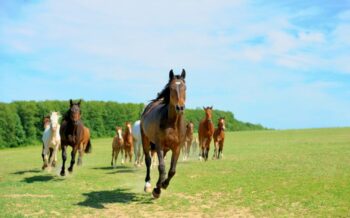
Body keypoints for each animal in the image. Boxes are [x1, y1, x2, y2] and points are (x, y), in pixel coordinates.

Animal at [141, 69, 187, 198]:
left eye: (185, 88)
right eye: (171, 88)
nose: (180, 107)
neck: (172, 124)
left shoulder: (177, 148)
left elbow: (171, 170)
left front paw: (163, 185)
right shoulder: (159, 145)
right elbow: (161, 167)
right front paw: (156, 190)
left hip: (166, 149)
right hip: (145, 140)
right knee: (148, 161)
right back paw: (148, 185)